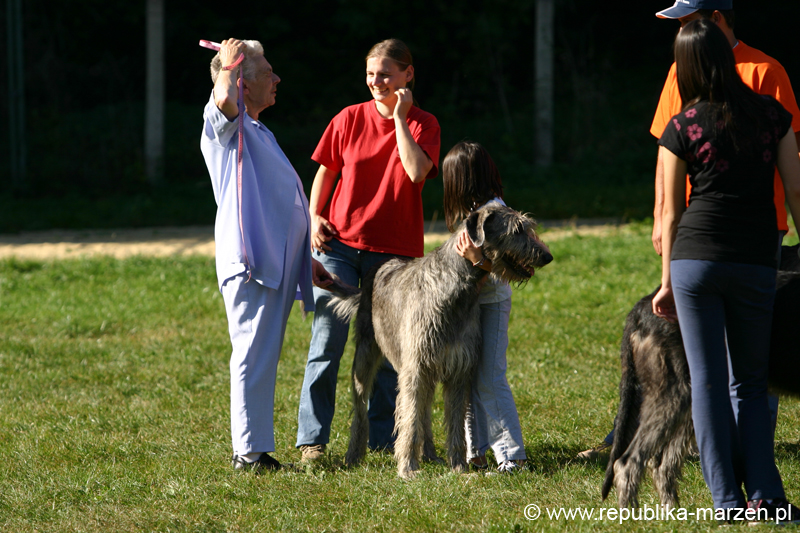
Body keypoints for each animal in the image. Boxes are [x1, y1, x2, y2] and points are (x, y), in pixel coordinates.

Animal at [322, 204, 552, 478]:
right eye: (517, 230)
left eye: (528, 227)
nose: (547, 256)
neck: (456, 287)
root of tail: (373, 272)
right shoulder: (414, 369)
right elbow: (409, 419)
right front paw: (407, 468)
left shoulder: (459, 369)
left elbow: (454, 422)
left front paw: (459, 466)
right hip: (366, 356)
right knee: (362, 408)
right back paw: (354, 456)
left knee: (424, 412)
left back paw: (430, 454)